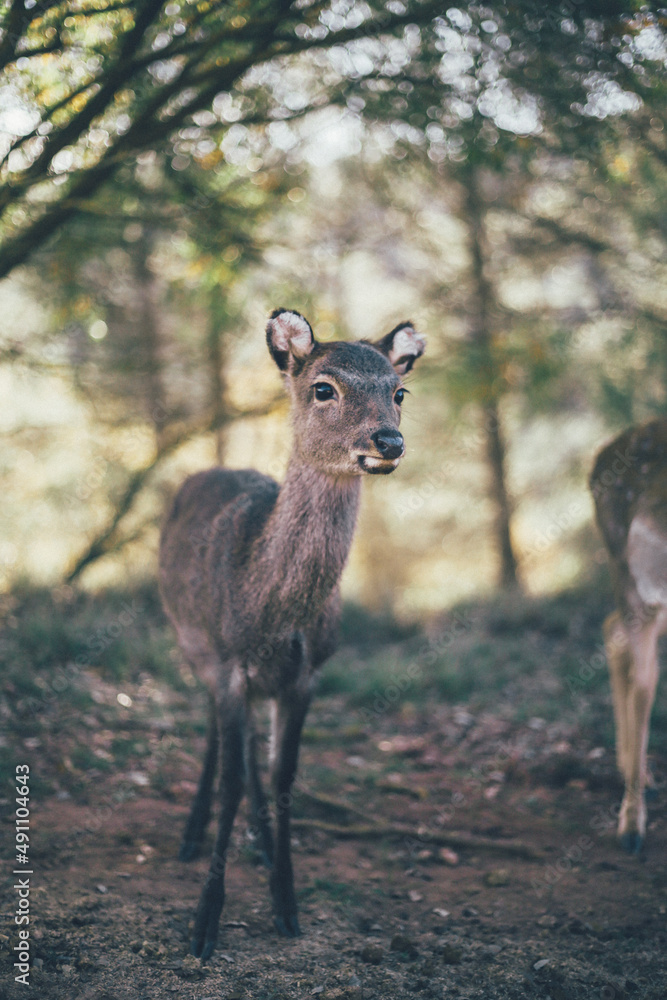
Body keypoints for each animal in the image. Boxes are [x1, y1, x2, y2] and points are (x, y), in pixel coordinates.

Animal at [159, 308, 425, 959]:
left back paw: (255, 840)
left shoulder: (308, 673)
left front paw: (286, 904)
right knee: (214, 730)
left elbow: (283, 776)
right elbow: (231, 778)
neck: (274, 613)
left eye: (399, 392)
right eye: (324, 387)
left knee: (250, 743)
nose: (389, 442)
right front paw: (204, 924)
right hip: (190, 640)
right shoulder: (229, 663)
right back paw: (192, 834)